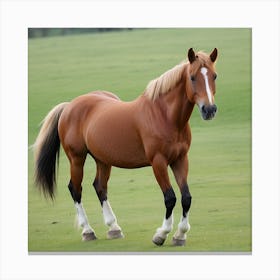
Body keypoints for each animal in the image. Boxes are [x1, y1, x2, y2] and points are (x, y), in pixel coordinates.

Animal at [33, 48, 219, 247]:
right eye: (192, 77)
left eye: (214, 76)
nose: (209, 110)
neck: (164, 116)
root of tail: (69, 106)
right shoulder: (158, 162)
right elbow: (170, 198)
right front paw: (161, 234)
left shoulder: (180, 159)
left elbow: (186, 198)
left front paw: (180, 235)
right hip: (76, 159)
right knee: (75, 189)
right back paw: (88, 231)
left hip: (103, 160)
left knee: (100, 186)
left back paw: (114, 228)